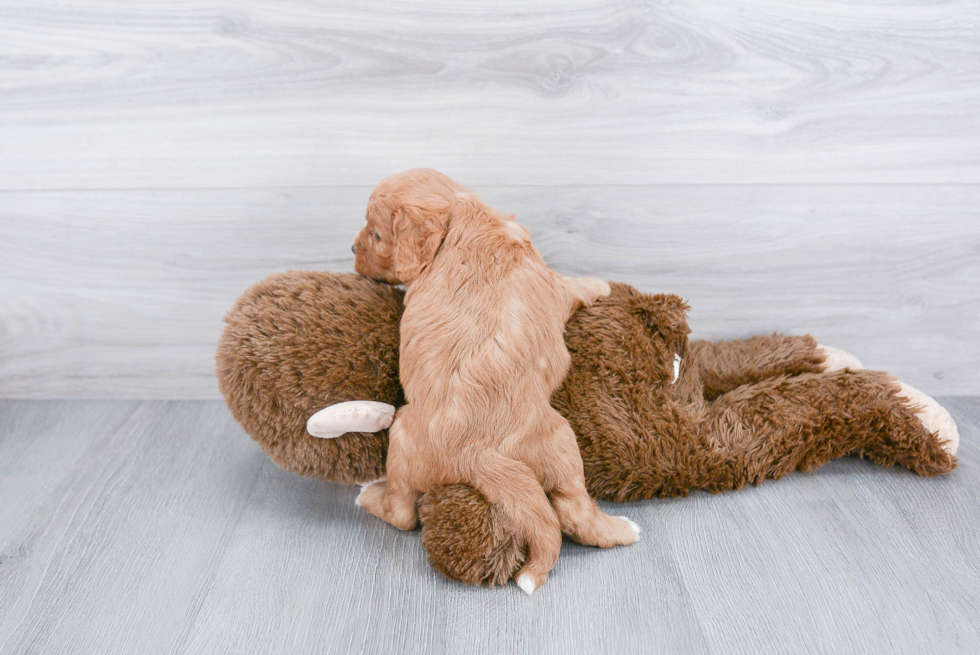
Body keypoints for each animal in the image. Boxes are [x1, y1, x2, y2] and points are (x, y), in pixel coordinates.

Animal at [348, 168, 640, 596]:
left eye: (377, 235)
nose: (351, 247)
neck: (463, 217)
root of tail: (479, 452)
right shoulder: (551, 282)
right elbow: (572, 284)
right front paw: (600, 284)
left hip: (424, 436)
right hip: (558, 442)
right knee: (570, 510)